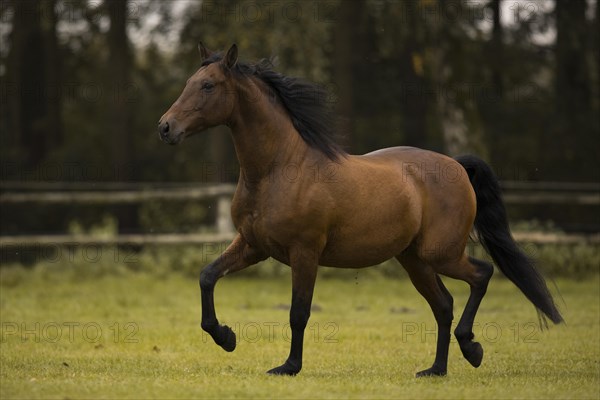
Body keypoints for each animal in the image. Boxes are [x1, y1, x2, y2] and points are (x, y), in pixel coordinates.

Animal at [159, 43, 564, 378]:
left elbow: (298, 312)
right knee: (444, 304)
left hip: (441, 253)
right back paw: (435, 369)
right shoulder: (253, 245)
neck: (278, 168)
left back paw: (472, 349)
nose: (165, 127)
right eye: (190, 82)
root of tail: (456, 166)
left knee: (481, 275)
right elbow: (207, 276)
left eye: (208, 85)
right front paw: (226, 337)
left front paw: (288, 367)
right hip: (414, 259)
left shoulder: (304, 252)